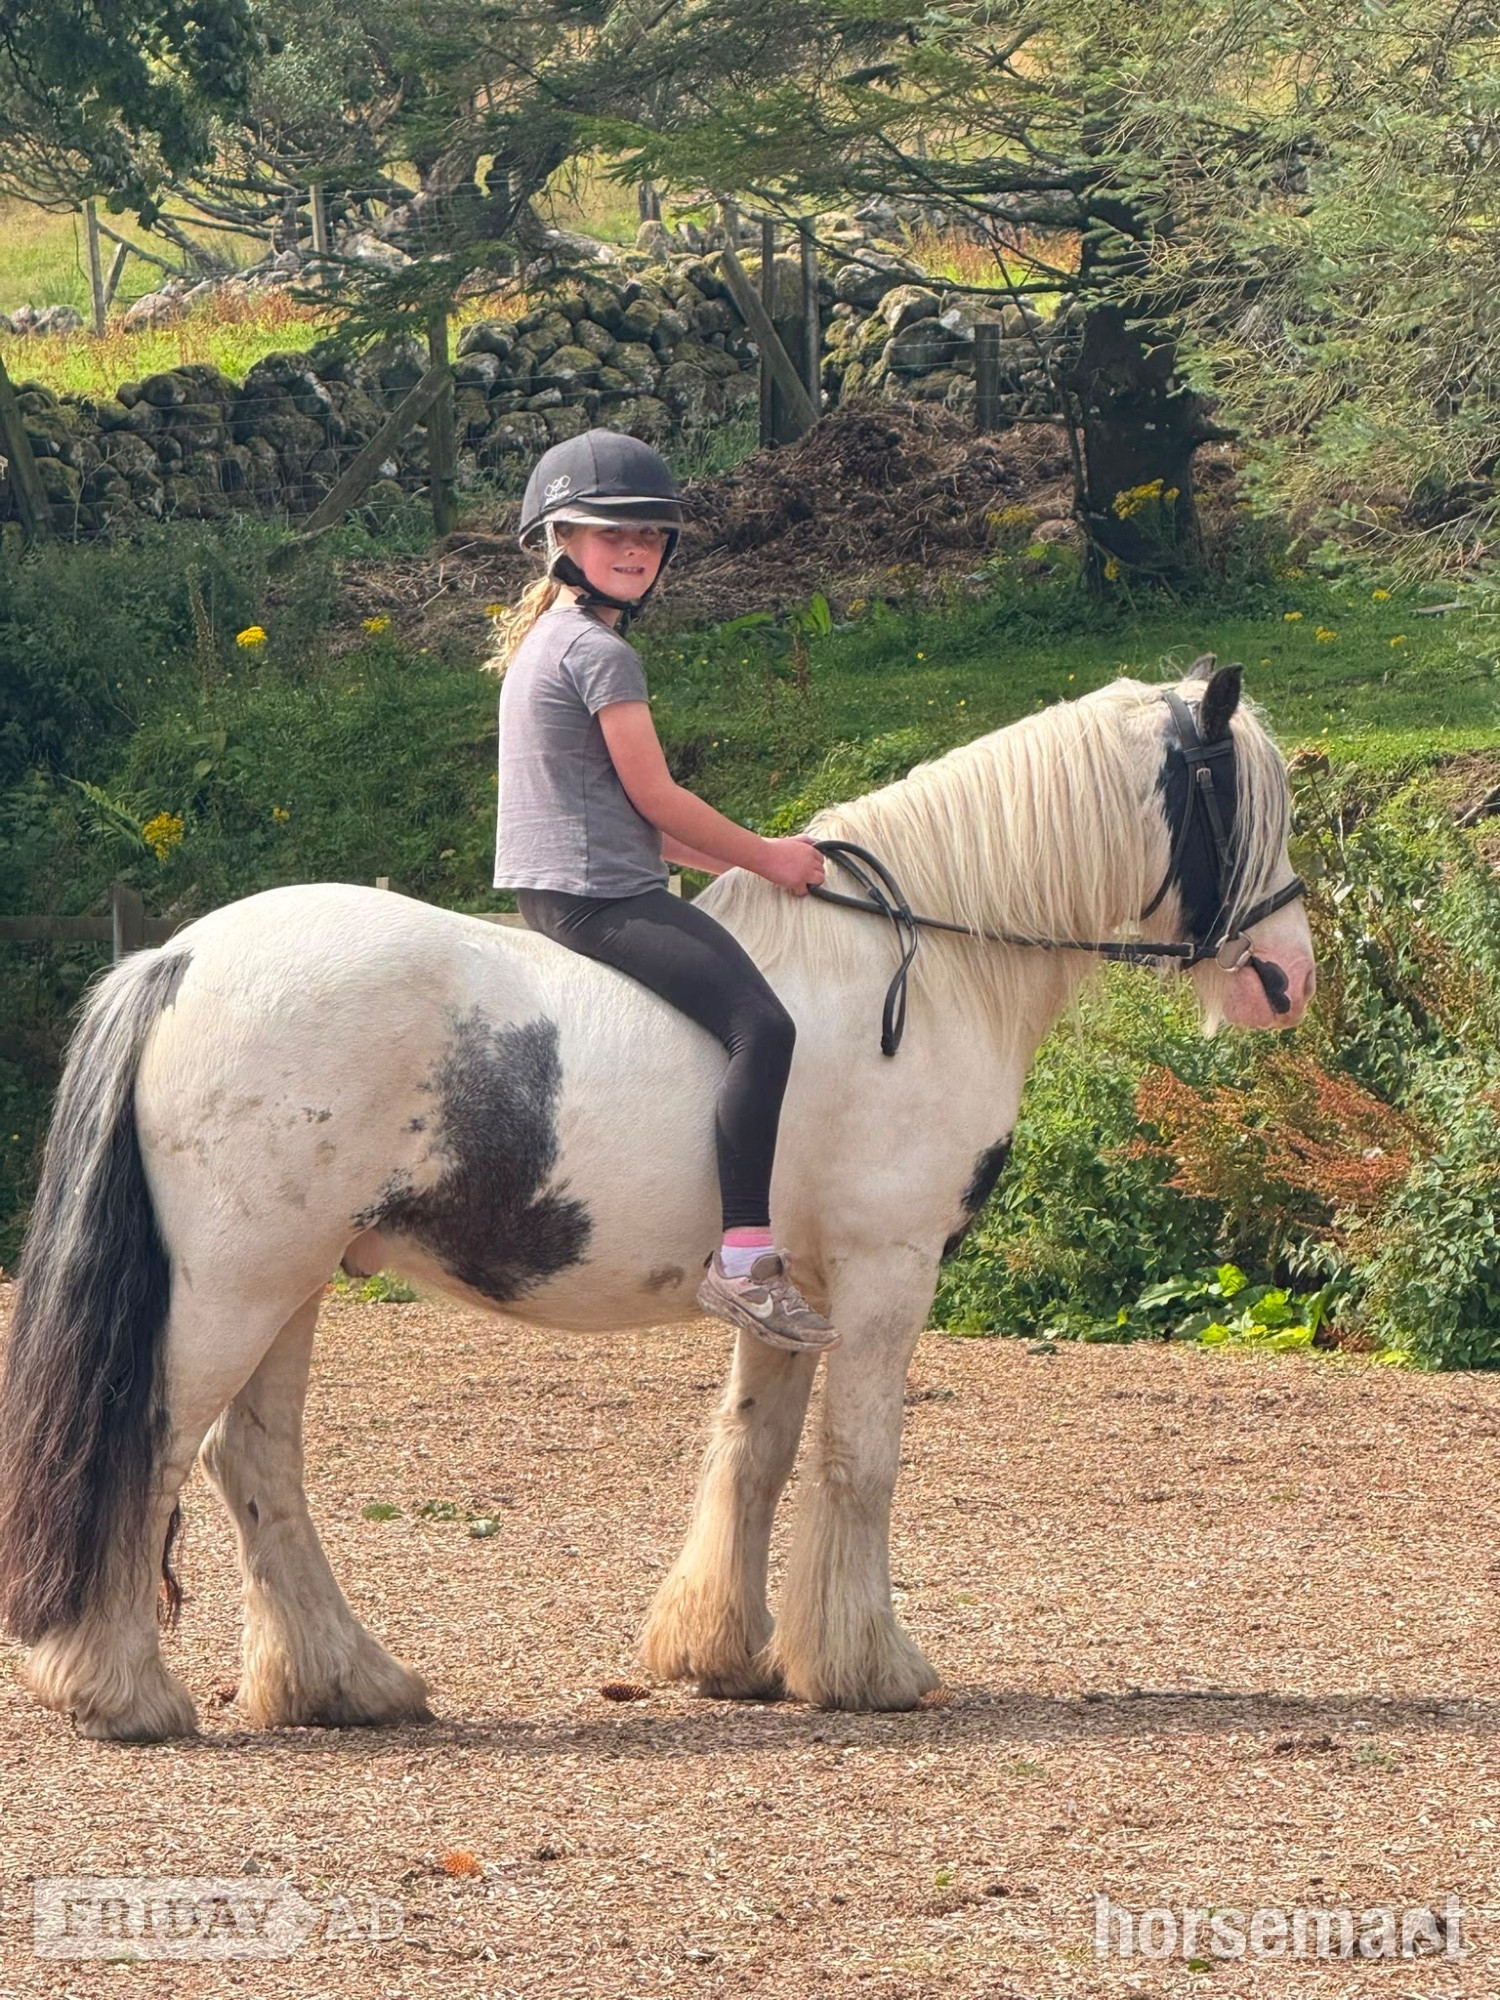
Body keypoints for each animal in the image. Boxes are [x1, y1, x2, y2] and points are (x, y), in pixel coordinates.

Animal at [0, 660, 1314, 1741]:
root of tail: (174, 960)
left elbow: (759, 1450)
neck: (921, 965)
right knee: (155, 1443)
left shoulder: (799, 1288)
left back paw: (343, 1682)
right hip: (241, 1282)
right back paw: (120, 1689)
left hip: (294, 1281)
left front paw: (725, 1654)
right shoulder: (888, 1267)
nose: (1289, 978)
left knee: (254, 1461)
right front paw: (869, 1664)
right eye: (1235, 800)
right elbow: (861, 1457)